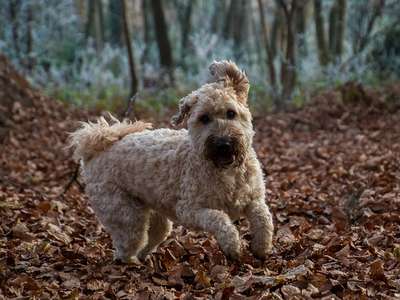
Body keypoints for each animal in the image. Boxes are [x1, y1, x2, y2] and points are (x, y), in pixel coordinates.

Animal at [70, 60, 274, 262]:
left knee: (150, 239)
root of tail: (95, 150)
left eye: (231, 113)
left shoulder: (253, 199)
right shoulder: (189, 210)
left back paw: (145, 259)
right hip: (126, 215)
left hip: (155, 218)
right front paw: (232, 245)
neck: (227, 171)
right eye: (204, 118)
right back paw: (131, 262)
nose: (223, 144)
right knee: (125, 247)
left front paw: (261, 247)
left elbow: (264, 218)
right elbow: (219, 219)